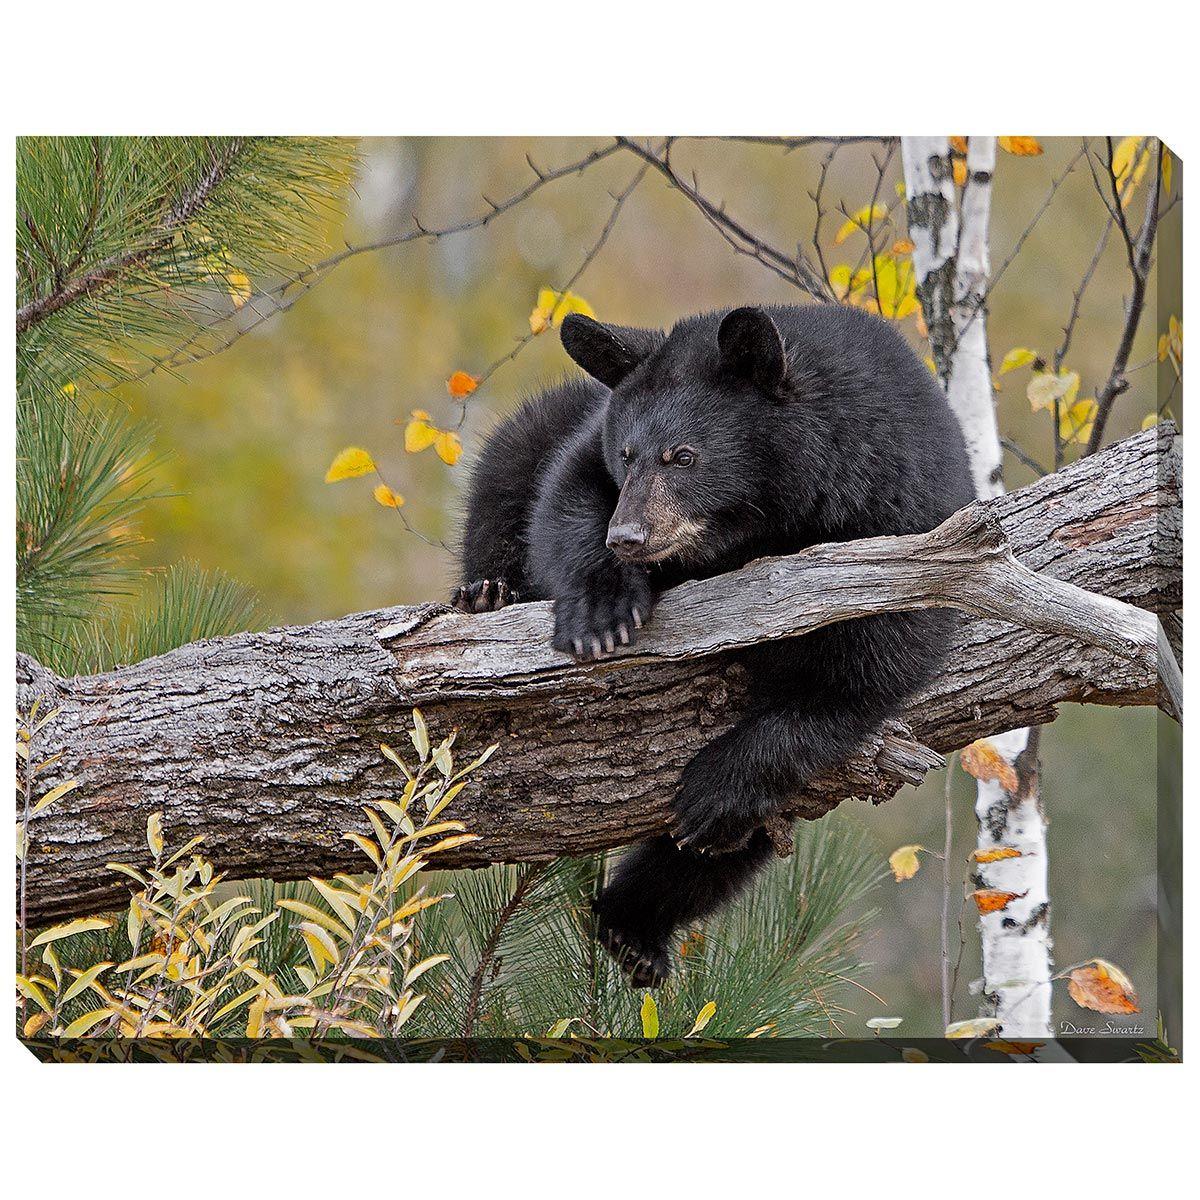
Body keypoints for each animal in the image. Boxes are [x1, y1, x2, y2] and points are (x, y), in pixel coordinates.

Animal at [454, 303, 975, 987]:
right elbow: (565, 491)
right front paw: (600, 609)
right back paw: (486, 593)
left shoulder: (903, 512)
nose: (628, 536)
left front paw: (717, 786)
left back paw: (633, 927)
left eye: (683, 456)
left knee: (729, 850)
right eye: (628, 454)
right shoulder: (591, 439)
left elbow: (874, 658)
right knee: (503, 482)